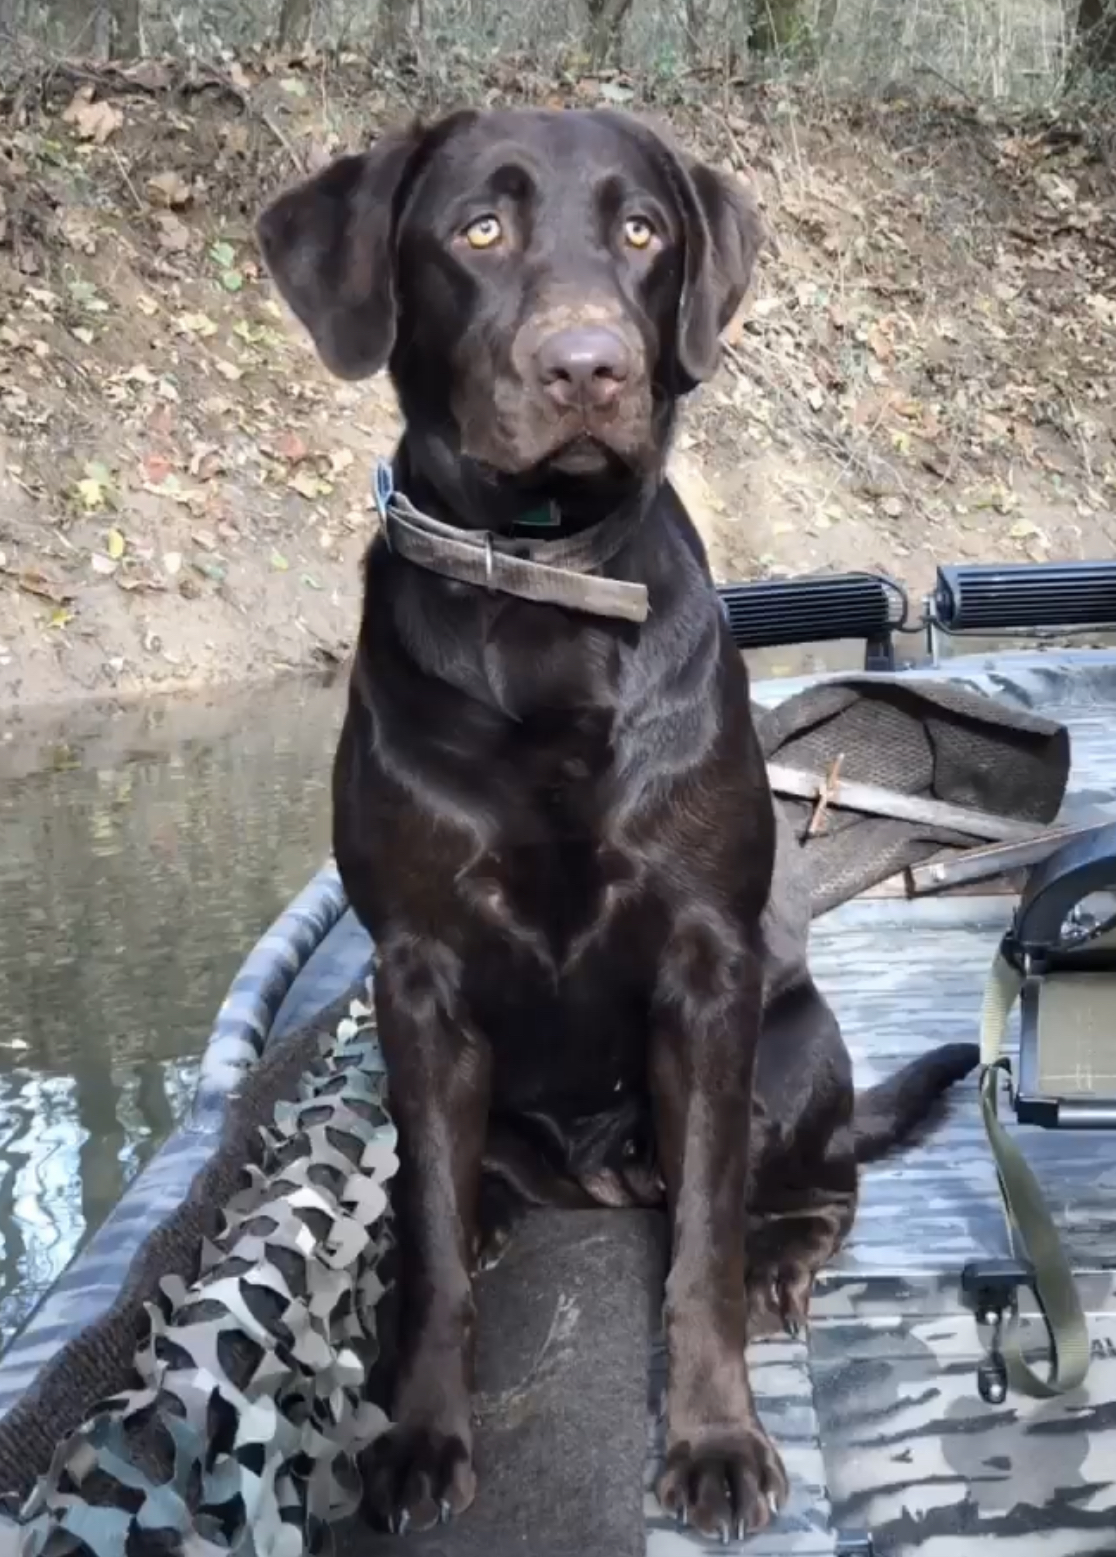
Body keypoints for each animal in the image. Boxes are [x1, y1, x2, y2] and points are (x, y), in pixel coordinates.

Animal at [258, 109, 977, 1544]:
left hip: (795, 1039)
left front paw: (715, 1440)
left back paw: (784, 1255)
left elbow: (699, 1246)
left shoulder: (708, 972)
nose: (590, 365)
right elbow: (428, 1243)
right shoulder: (416, 976)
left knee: (814, 1184)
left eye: (643, 230)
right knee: (459, 1182)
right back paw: (491, 1206)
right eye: (479, 229)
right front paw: (419, 1435)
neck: (548, 591)